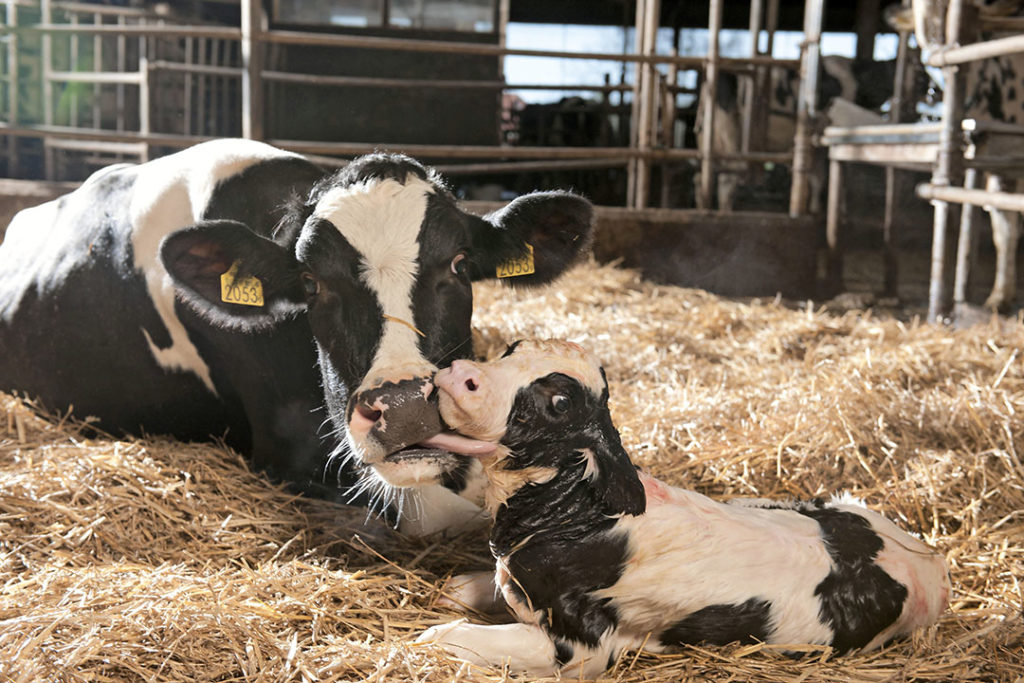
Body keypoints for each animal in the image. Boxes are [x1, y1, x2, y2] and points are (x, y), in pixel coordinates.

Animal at [417, 339, 950, 679]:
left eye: (561, 401)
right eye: (512, 348)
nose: (462, 374)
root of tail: (932, 561)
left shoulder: (583, 649)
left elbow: (456, 635)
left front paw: (425, 639)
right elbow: (470, 590)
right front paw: (454, 588)